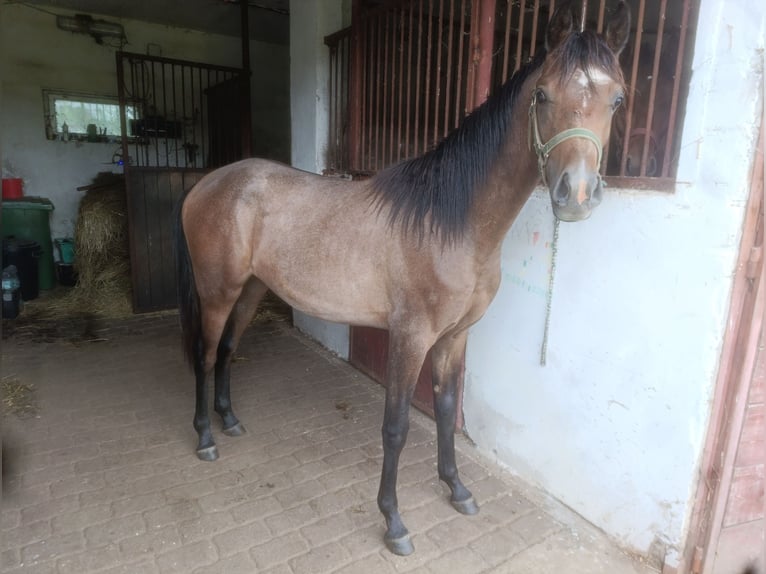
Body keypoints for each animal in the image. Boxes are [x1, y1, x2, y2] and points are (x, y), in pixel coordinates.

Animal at [177, 1, 632, 560]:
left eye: (617, 99)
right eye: (543, 95)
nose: (577, 196)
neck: (452, 221)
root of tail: (208, 184)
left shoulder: (455, 337)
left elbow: (445, 409)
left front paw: (456, 488)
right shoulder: (410, 336)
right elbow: (395, 427)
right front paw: (393, 521)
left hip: (251, 290)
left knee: (226, 350)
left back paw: (230, 420)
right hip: (217, 292)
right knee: (204, 353)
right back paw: (205, 437)